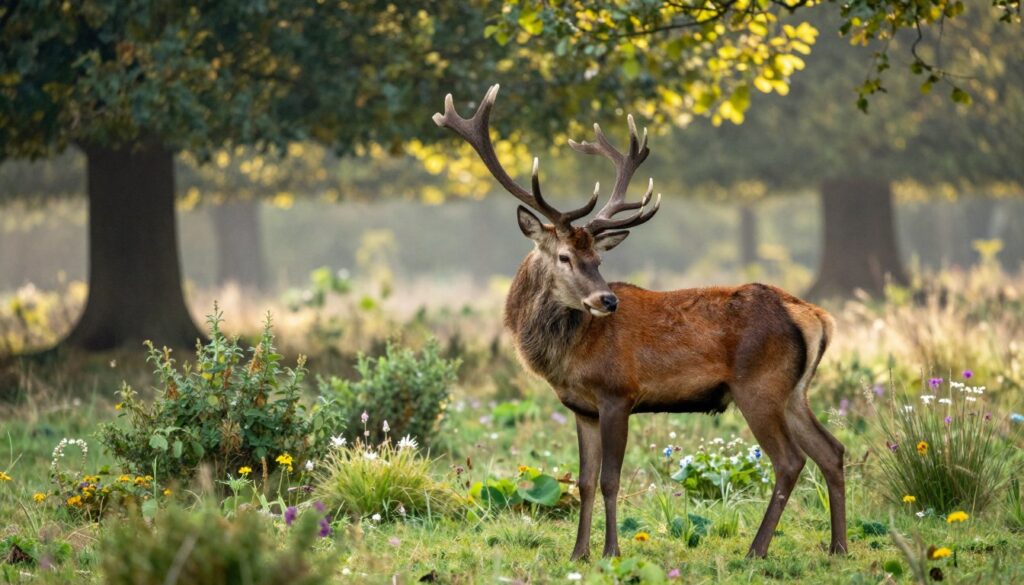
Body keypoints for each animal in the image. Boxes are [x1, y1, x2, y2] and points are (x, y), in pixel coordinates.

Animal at [433, 85, 846, 561]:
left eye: (599, 259)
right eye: (565, 257)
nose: (607, 300)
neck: (568, 356)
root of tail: (813, 315)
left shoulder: (619, 393)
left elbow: (611, 479)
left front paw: (611, 551)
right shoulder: (582, 408)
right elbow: (584, 481)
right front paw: (578, 553)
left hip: (759, 385)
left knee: (790, 461)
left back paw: (756, 550)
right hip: (794, 391)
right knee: (832, 450)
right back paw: (837, 546)